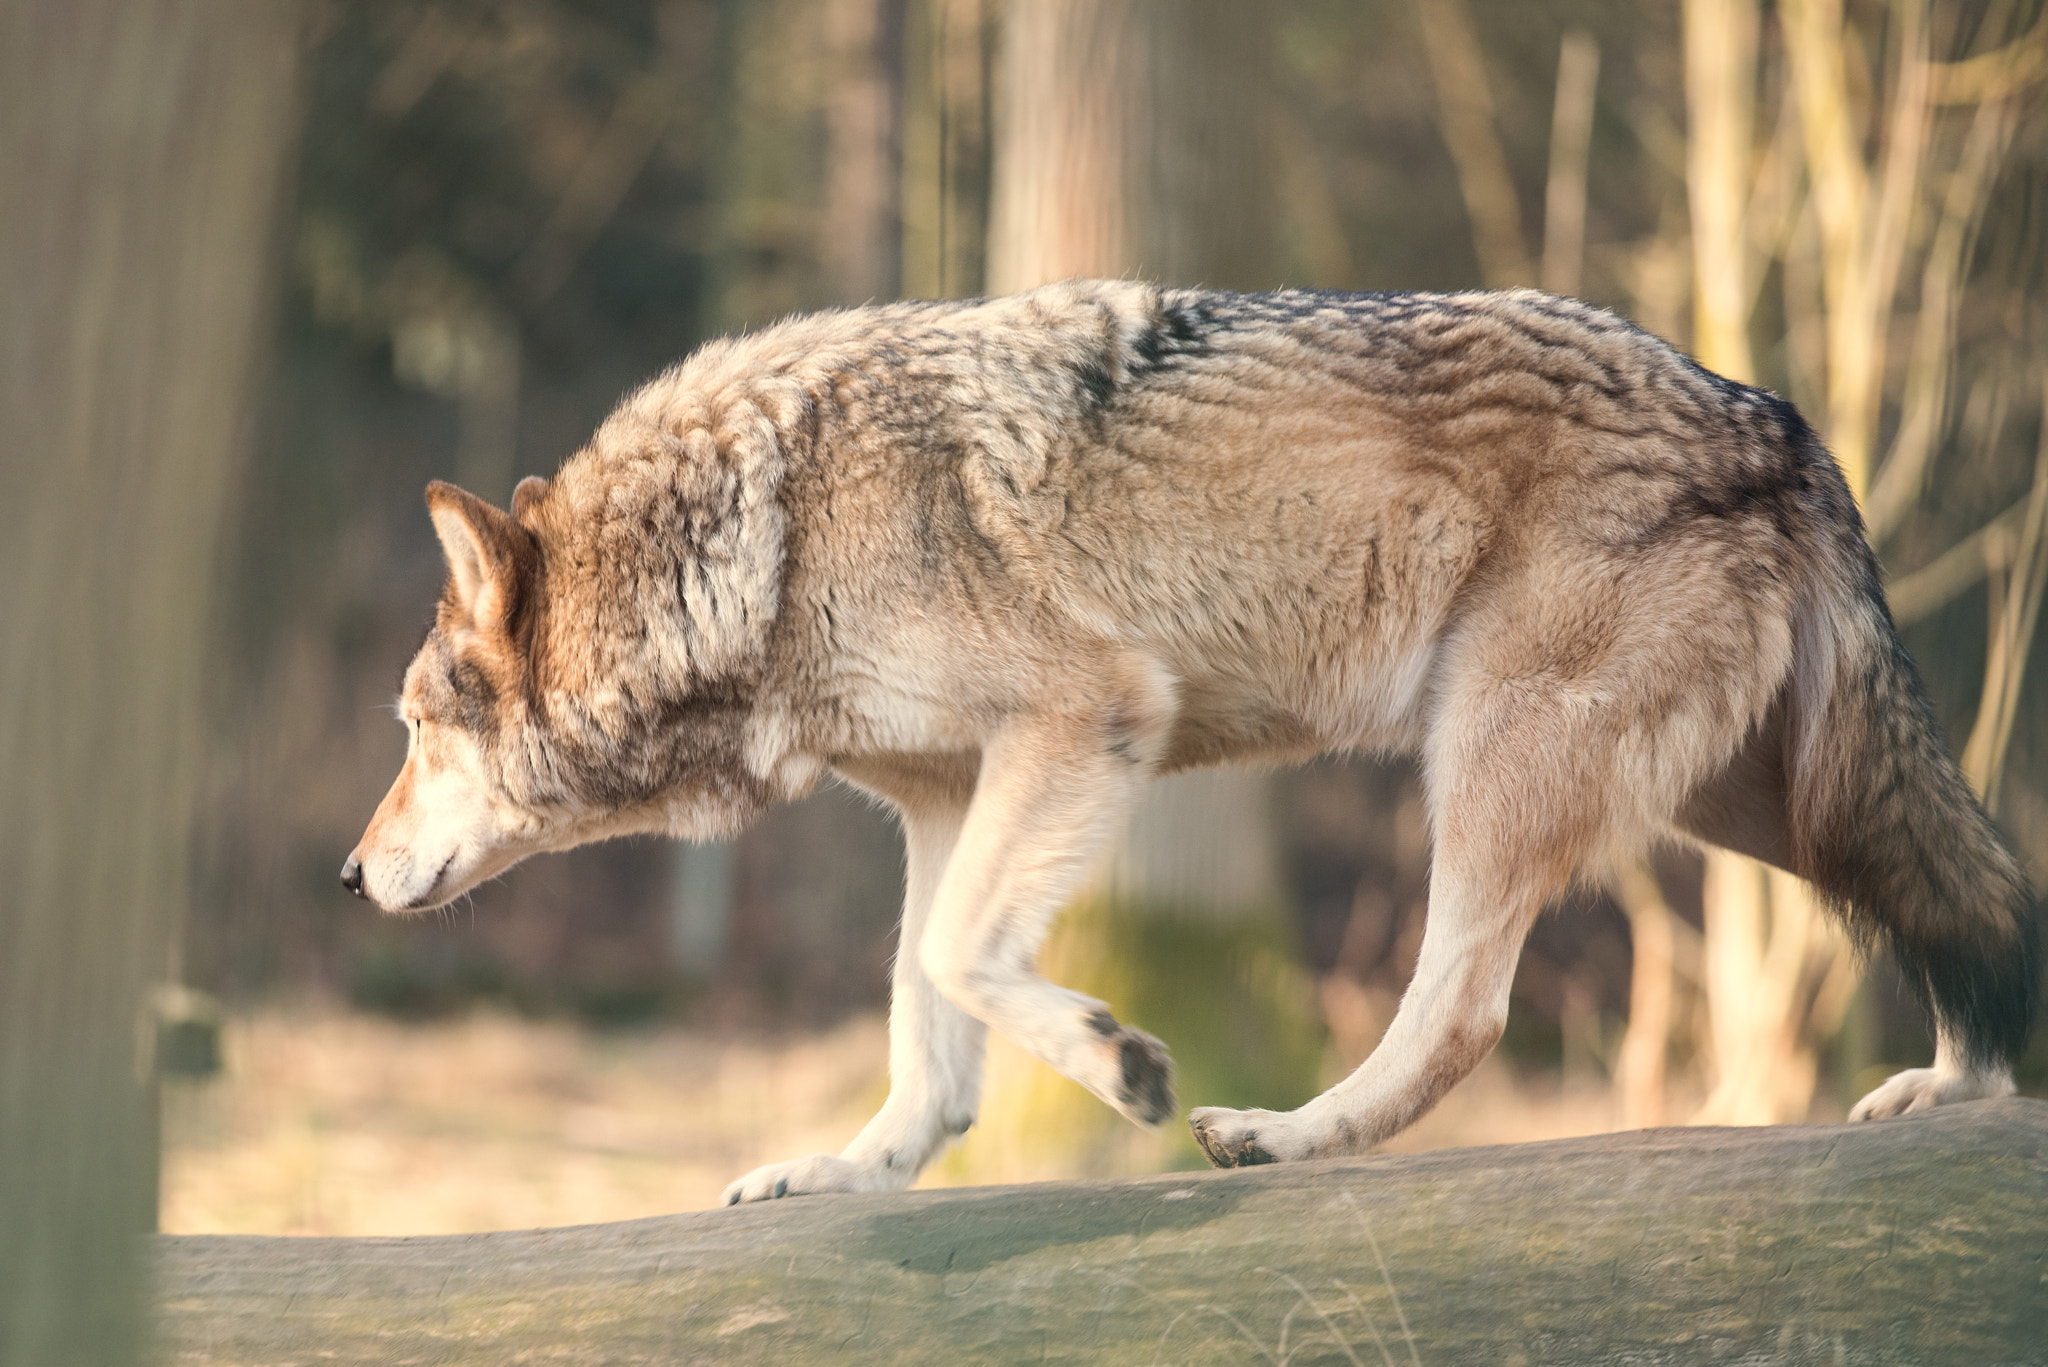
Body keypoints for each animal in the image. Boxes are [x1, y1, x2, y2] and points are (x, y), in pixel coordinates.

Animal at [342, 279, 2038, 1199]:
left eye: (414, 729)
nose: (350, 877)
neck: (765, 526)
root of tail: (1787, 423)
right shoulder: (944, 801)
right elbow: (925, 1031)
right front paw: (847, 1168)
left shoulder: (1087, 717)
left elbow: (960, 959)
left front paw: (1121, 1059)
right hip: (1770, 807)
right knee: (1981, 896)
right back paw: (1966, 1091)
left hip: (1492, 764)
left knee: (1462, 1012)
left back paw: (1283, 1133)